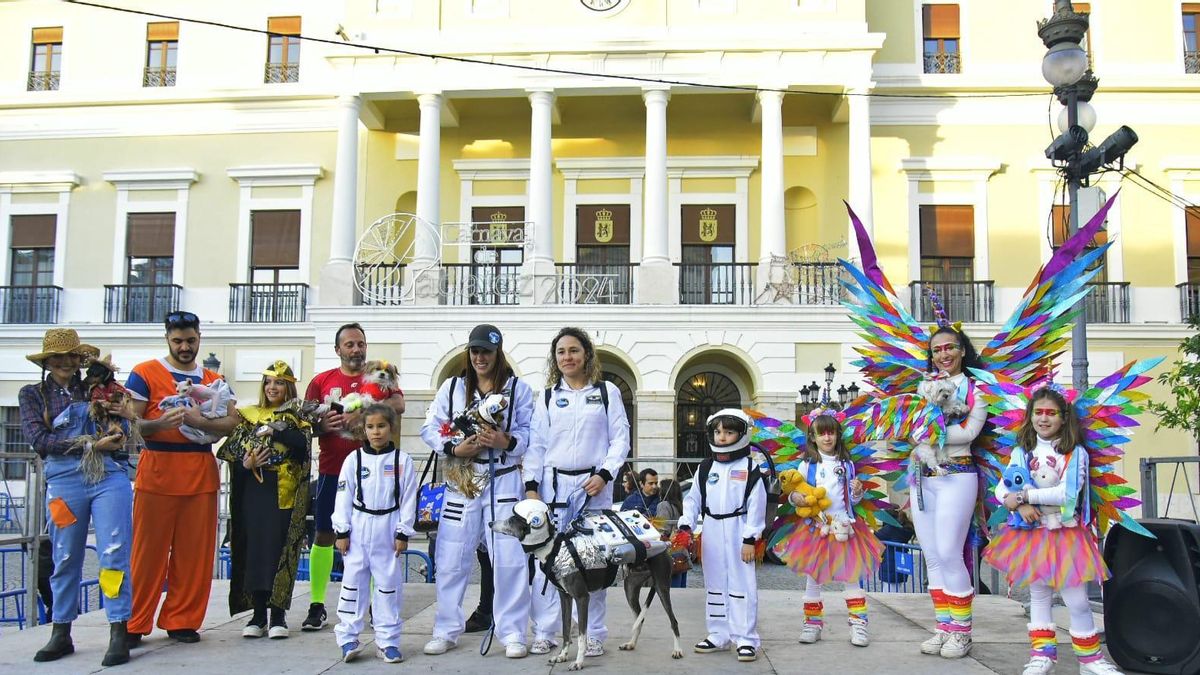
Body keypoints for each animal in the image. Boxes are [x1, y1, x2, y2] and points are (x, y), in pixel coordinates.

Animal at [489, 494, 686, 667]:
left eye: (511, 520)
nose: (490, 523)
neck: (554, 550)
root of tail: (663, 542)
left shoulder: (582, 598)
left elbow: (582, 636)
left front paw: (578, 662)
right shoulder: (565, 598)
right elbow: (566, 630)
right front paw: (562, 656)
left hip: (662, 587)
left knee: (674, 621)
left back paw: (677, 650)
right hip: (630, 589)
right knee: (640, 618)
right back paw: (631, 644)